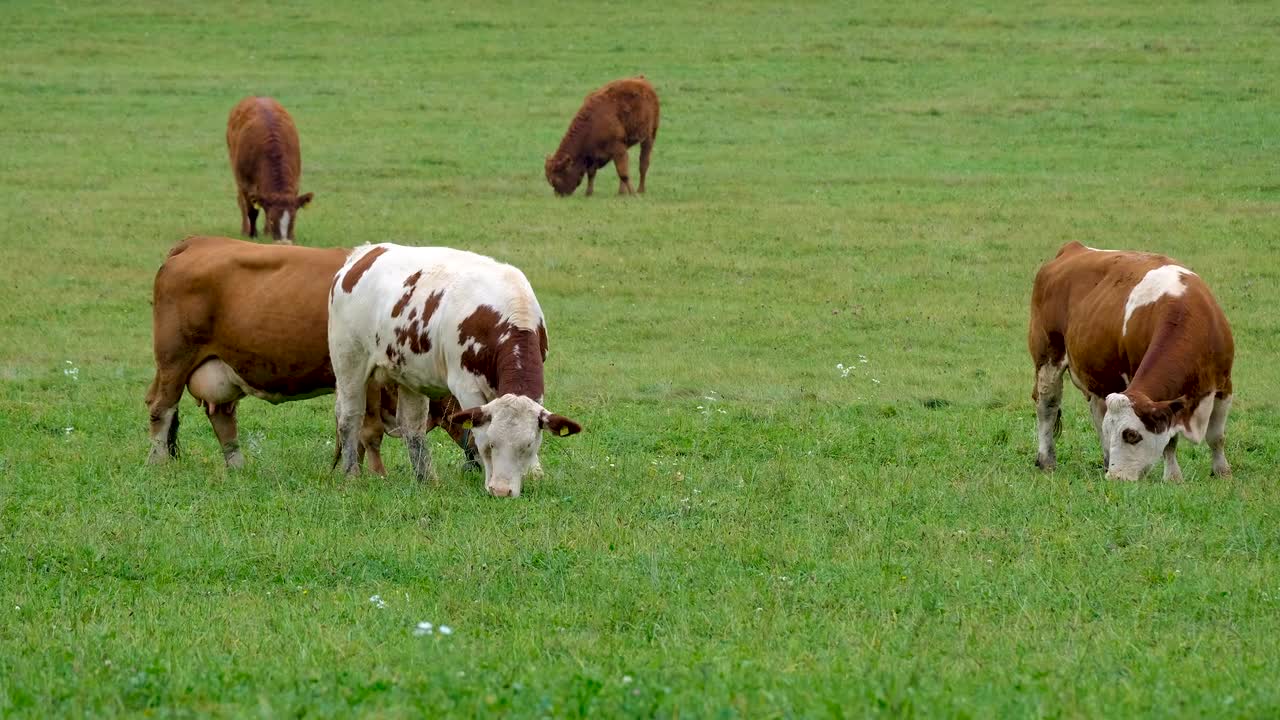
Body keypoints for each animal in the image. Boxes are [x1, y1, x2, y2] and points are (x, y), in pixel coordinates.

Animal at [146, 235, 476, 471]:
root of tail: (197, 242)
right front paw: (374, 474)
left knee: (223, 416)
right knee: (161, 408)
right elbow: (368, 431)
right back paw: (158, 463)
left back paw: (238, 468)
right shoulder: (366, 379)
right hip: (174, 360)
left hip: (220, 368)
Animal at [226, 96, 313, 242]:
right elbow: (252, 210)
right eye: (272, 220)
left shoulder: (295, 182)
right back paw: (245, 229)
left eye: (293, 220)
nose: (284, 241)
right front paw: (252, 234)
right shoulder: (246, 182)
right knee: (241, 201)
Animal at [327, 243, 583, 497]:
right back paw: (351, 475)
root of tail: (364, 253)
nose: (502, 491)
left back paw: (427, 480)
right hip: (349, 360)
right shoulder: (466, 388)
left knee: (412, 425)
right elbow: (478, 437)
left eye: (528, 446)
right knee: (350, 417)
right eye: (493, 443)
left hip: (409, 374)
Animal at [1029, 240, 1228, 481]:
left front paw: (1222, 471)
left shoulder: (1224, 385)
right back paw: (1046, 460)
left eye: (1131, 435)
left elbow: (1216, 436)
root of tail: (1073, 248)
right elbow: (1170, 441)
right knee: (1047, 406)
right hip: (1047, 357)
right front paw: (1172, 477)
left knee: (1097, 411)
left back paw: (1106, 461)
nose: (1116, 478)